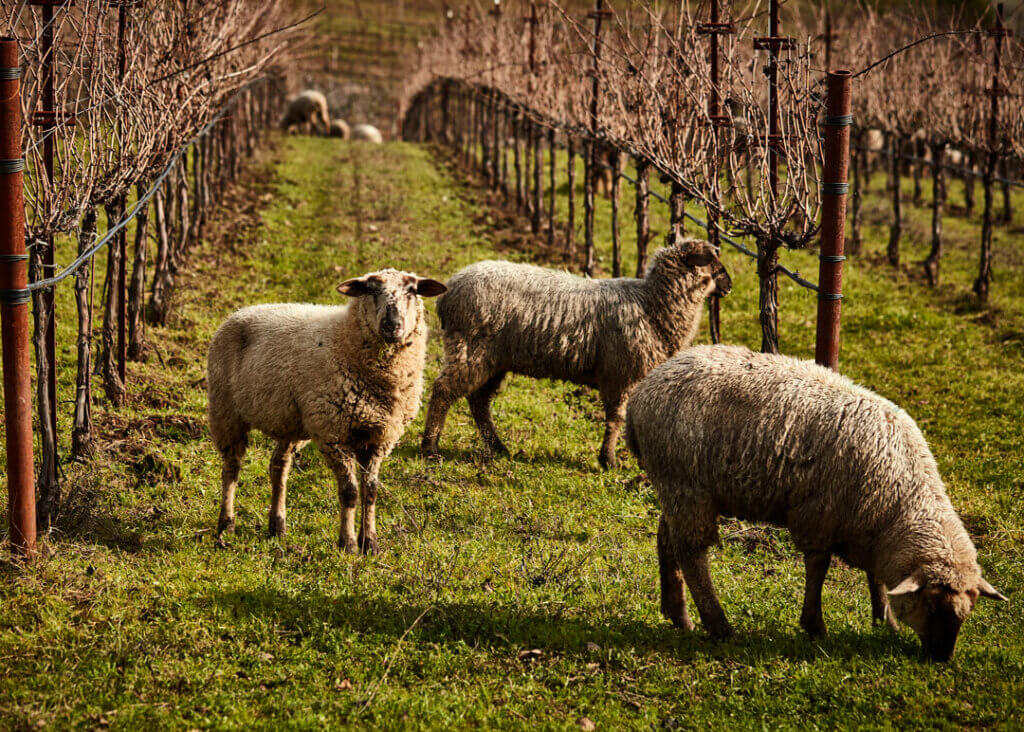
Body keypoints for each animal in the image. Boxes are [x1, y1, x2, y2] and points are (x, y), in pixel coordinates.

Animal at [205, 266, 446, 552]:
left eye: (412, 291)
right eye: (371, 290)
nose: (392, 325)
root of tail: (241, 311)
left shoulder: (379, 438)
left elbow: (371, 491)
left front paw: (371, 543)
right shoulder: (333, 434)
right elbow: (350, 492)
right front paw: (349, 544)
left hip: (293, 422)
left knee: (279, 466)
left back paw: (277, 526)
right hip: (226, 410)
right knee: (231, 468)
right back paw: (226, 525)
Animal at [419, 240, 733, 468]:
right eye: (713, 263)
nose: (729, 285)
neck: (652, 304)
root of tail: (449, 291)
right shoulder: (620, 375)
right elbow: (616, 418)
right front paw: (609, 461)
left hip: (493, 359)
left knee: (478, 402)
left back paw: (498, 447)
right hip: (470, 348)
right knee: (443, 392)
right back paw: (430, 448)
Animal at [622, 346, 1007, 663]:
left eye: (968, 611)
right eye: (929, 604)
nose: (941, 659)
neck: (899, 500)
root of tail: (642, 391)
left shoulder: (867, 527)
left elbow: (875, 578)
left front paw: (885, 621)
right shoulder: (819, 516)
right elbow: (818, 569)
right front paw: (814, 626)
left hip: (676, 486)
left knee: (667, 537)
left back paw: (678, 614)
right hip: (688, 486)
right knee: (691, 553)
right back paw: (719, 626)